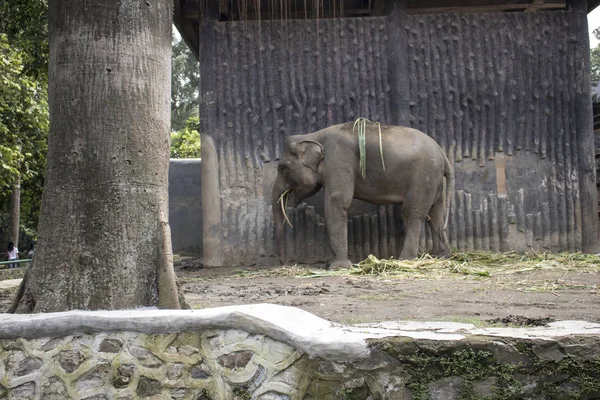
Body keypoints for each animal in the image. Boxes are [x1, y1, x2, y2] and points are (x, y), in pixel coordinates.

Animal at [272, 122, 454, 268]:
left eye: (282, 168)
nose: (285, 264)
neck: (312, 136)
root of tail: (443, 155)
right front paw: (331, 265)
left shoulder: (338, 160)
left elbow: (337, 202)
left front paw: (337, 267)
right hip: (435, 180)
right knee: (435, 214)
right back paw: (442, 257)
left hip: (422, 177)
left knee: (413, 214)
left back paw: (404, 260)